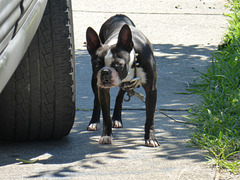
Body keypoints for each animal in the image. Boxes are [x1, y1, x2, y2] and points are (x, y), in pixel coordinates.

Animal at [86, 14, 159, 146]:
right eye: (96, 64)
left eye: (118, 64)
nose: (105, 71)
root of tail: (118, 15)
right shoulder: (102, 89)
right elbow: (105, 115)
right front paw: (106, 135)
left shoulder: (151, 90)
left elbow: (150, 117)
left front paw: (150, 138)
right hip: (94, 80)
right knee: (97, 100)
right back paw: (94, 122)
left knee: (120, 96)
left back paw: (117, 118)